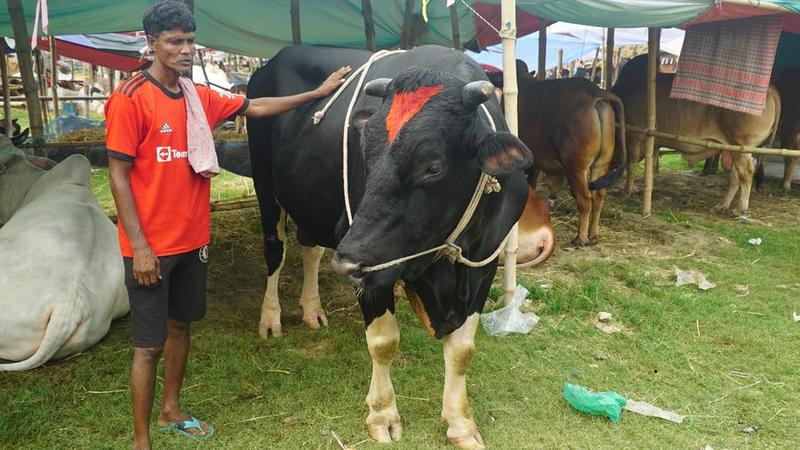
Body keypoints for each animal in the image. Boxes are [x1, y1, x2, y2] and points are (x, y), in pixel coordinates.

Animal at [250, 44, 552, 446]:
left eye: (432, 166)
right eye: (365, 151)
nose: (347, 265)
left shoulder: (484, 262)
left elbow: (462, 350)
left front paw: (460, 423)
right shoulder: (371, 262)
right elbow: (383, 342)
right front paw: (382, 415)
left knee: (310, 249)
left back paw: (312, 310)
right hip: (266, 187)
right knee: (275, 250)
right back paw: (271, 318)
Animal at [612, 55, 776, 215]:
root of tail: (769, 89)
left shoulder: (634, 136)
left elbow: (631, 165)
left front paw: (627, 191)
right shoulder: (653, 143)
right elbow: (650, 167)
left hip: (740, 144)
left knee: (747, 172)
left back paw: (740, 208)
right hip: (735, 149)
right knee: (736, 176)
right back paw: (722, 205)